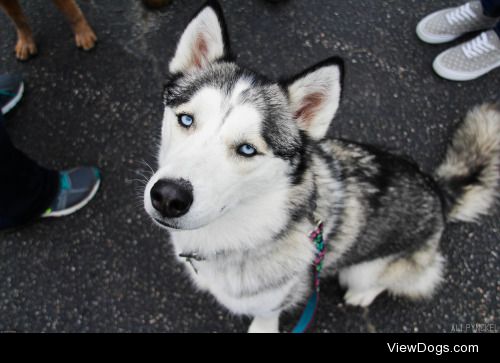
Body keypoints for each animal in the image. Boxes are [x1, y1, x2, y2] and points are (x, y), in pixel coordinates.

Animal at [143, 1, 498, 334]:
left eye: (247, 149)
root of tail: (437, 189)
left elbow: (266, 315)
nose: (169, 197)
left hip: (365, 269)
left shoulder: (275, 301)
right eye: (186, 119)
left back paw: (363, 294)